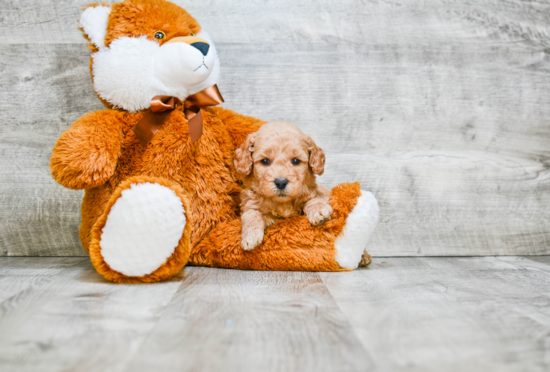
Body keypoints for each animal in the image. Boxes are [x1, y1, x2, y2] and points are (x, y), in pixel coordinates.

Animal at [235, 122, 334, 250]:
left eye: (295, 160)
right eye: (265, 161)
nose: (281, 182)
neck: (283, 203)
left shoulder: (318, 191)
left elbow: (315, 198)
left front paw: (319, 211)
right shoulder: (249, 202)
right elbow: (251, 214)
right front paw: (250, 237)